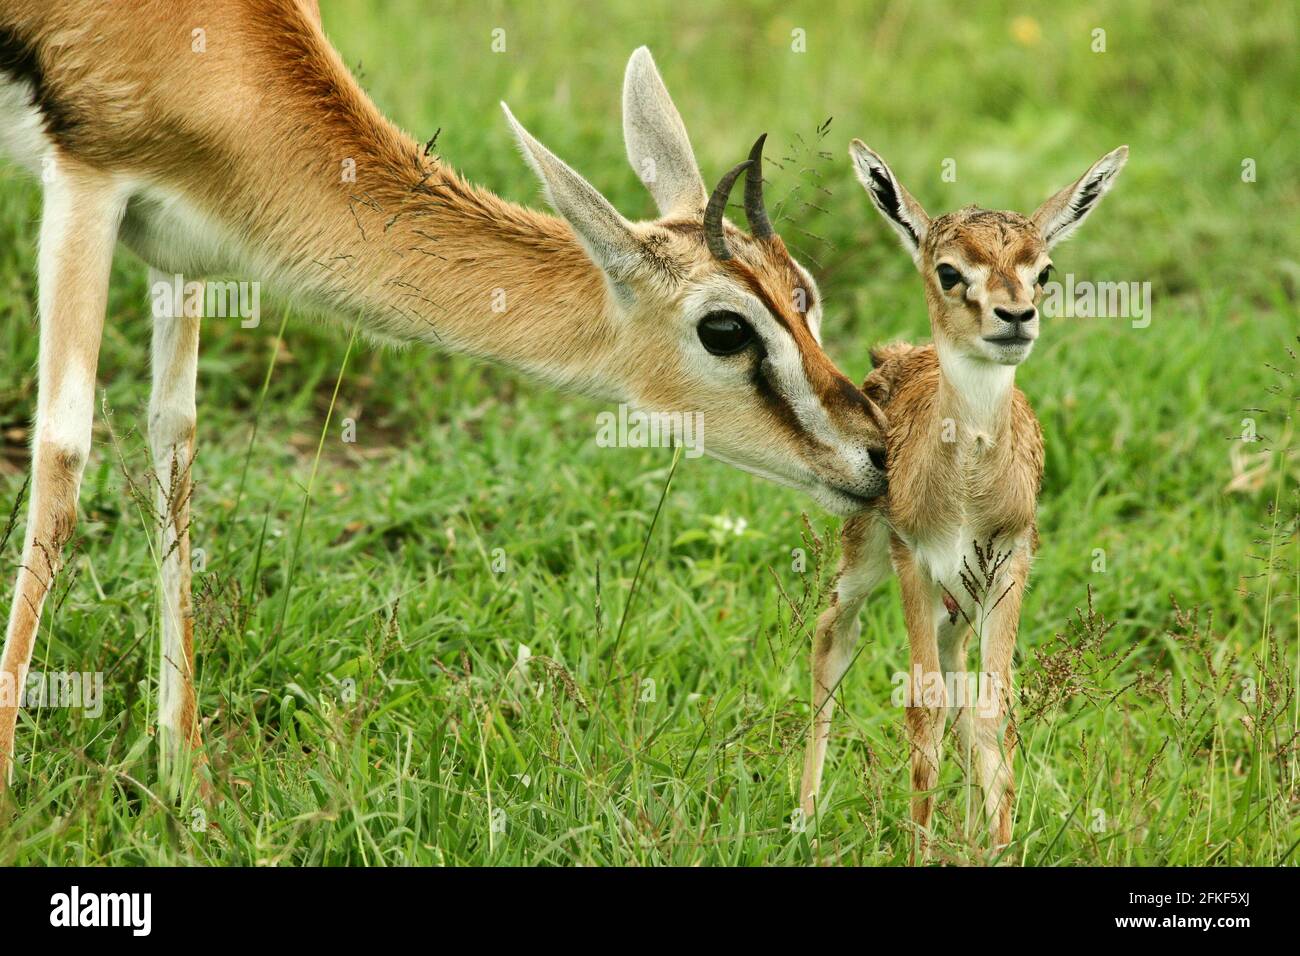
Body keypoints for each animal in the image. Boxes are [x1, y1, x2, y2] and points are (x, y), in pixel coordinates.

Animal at [0, 1, 888, 796]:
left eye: (805, 294)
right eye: (726, 329)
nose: (878, 453)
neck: (220, 57)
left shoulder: (179, 252)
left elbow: (174, 444)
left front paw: (187, 781)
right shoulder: (86, 185)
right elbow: (64, 454)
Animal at [798, 140, 1127, 861]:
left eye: (1043, 271)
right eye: (950, 271)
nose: (1015, 318)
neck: (970, 485)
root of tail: (895, 354)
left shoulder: (1010, 566)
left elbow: (988, 709)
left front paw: (998, 846)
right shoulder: (913, 562)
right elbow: (921, 710)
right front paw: (921, 850)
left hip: (962, 598)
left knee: (958, 682)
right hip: (866, 558)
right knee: (833, 636)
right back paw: (803, 820)